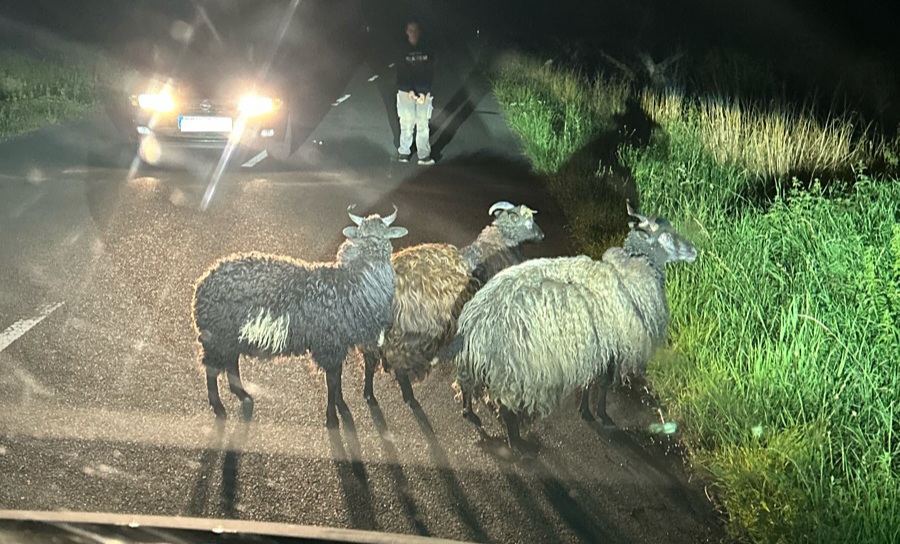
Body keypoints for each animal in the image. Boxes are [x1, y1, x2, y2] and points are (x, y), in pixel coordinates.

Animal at [191, 206, 408, 428]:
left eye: (384, 234)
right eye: (362, 234)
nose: (374, 247)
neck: (351, 282)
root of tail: (202, 284)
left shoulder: (337, 345)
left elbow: (337, 379)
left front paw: (342, 406)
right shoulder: (328, 345)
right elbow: (331, 381)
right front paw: (332, 418)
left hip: (230, 335)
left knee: (230, 362)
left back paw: (243, 395)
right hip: (217, 335)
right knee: (211, 368)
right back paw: (219, 407)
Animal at [362, 201, 545, 408]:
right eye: (528, 222)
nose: (542, 236)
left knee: (370, 361)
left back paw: (369, 393)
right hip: (405, 339)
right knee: (398, 368)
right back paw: (409, 397)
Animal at [449, 202, 697, 453]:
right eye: (667, 235)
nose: (694, 250)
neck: (631, 270)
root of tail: (475, 322)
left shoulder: (595, 344)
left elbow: (590, 380)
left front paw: (586, 410)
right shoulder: (613, 344)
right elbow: (604, 382)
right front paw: (603, 415)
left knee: (467, 386)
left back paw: (469, 414)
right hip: (513, 368)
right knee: (505, 406)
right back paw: (518, 443)